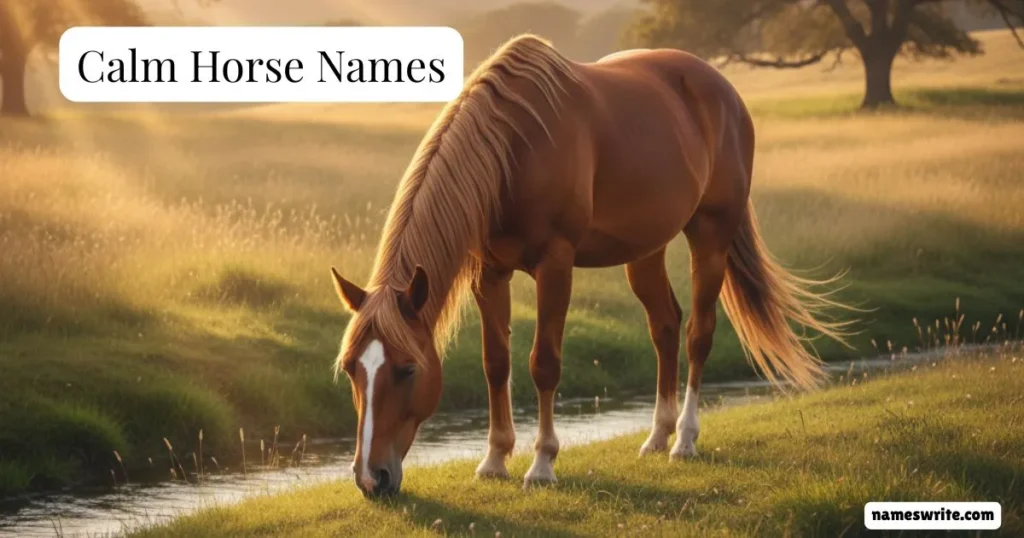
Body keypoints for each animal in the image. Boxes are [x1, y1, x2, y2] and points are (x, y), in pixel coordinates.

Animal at [329, 34, 852, 496]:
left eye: (407, 369)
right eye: (353, 369)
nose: (371, 479)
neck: (513, 149)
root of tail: (723, 89)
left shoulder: (555, 265)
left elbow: (544, 364)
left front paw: (541, 465)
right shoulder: (490, 273)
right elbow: (496, 364)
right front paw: (494, 460)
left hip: (711, 237)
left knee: (698, 334)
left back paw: (683, 440)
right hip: (645, 250)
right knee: (665, 326)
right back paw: (656, 436)